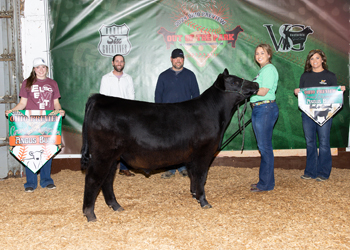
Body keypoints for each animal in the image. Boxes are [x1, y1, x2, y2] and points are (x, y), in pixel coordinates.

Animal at [80, 69, 258, 222]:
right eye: (234, 81)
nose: (256, 84)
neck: (215, 114)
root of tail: (99, 98)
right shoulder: (204, 153)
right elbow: (202, 177)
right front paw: (204, 202)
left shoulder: (192, 157)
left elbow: (194, 177)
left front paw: (194, 195)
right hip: (103, 154)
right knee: (93, 179)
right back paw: (90, 214)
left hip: (113, 156)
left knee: (107, 180)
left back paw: (116, 206)